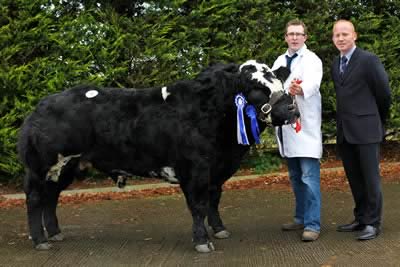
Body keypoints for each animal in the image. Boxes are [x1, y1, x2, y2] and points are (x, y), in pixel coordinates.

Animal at [18, 60, 296, 253]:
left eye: (281, 85)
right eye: (257, 89)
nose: (292, 108)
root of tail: (40, 106)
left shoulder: (216, 171)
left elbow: (214, 201)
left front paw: (219, 230)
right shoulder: (194, 170)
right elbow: (199, 206)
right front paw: (202, 241)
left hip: (68, 167)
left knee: (51, 197)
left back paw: (55, 233)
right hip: (41, 166)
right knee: (35, 199)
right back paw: (40, 240)